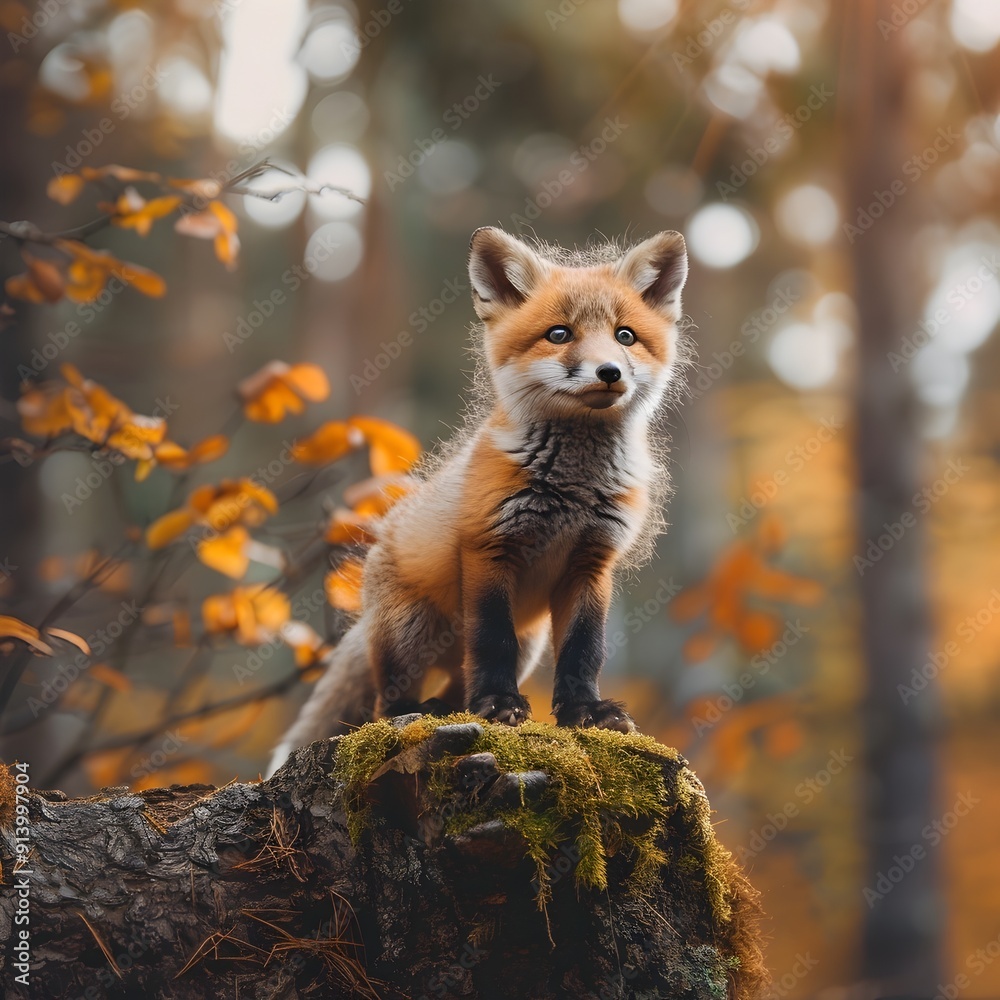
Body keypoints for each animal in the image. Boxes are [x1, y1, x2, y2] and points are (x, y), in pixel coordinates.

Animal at [268, 226, 689, 776]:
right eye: (559, 335)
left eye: (625, 336)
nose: (610, 372)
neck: (572, 489)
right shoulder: (490, 548)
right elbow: (491, 640)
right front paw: (499, 707)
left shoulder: (592, 563)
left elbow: (584, 650)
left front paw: (586, 713)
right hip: (411, 630)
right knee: (388, 701)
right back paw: (415, 712)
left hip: (529, 642)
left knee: (455, 688)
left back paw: (448, 708)